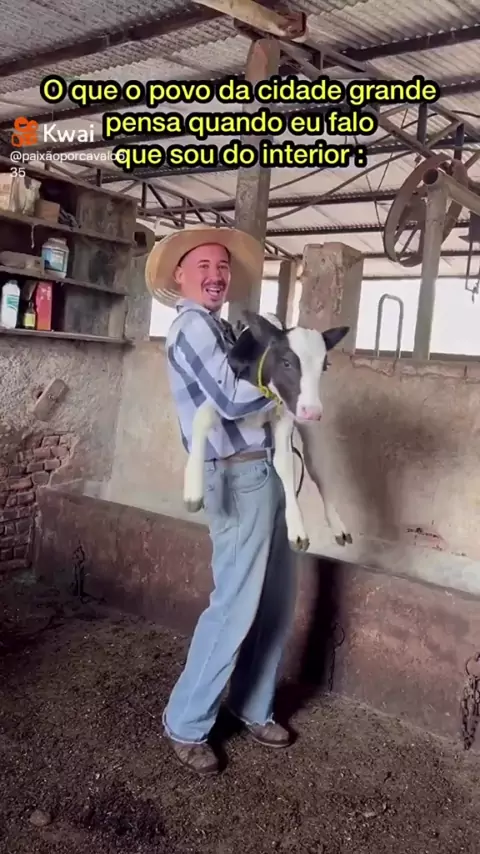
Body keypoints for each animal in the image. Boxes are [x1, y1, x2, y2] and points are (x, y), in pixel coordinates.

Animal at [183, 311, 352, 552]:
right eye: (287, 362)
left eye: (324, 366)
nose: (312, 411)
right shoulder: (226, 399)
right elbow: (202, 417)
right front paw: (192, 491)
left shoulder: (285, 415)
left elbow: (285, 463)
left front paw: (296, 528)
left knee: (317, 469)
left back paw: (338, 525)